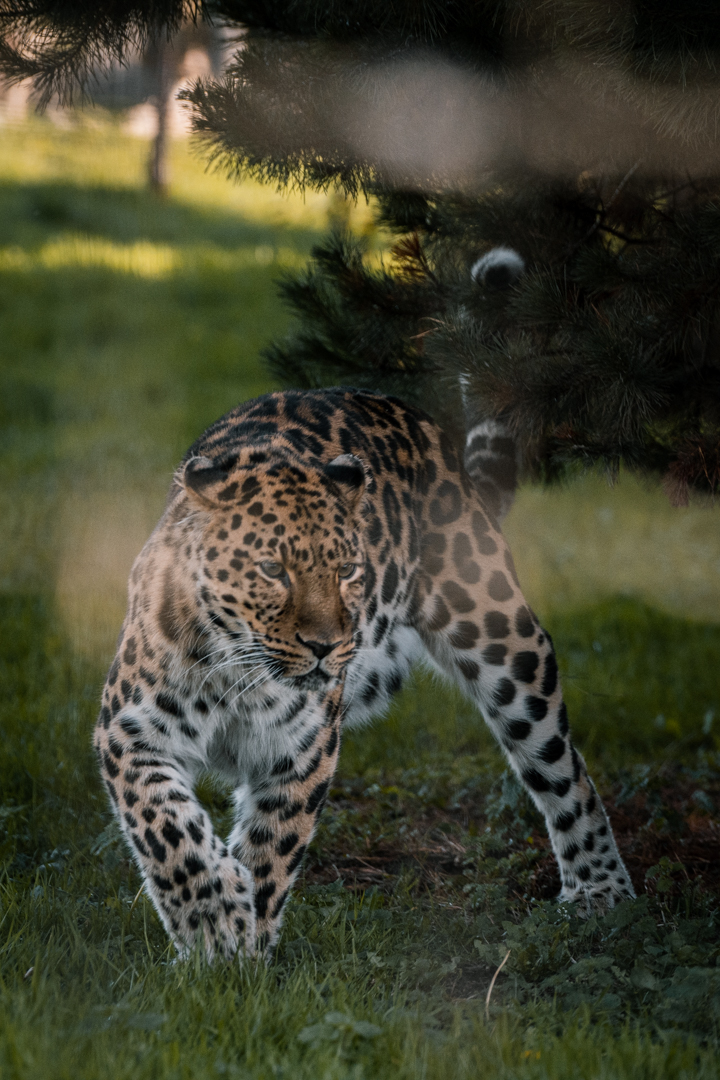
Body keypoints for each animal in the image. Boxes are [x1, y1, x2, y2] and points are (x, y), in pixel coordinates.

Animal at [94, 386, 634, 962]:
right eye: (273, 570)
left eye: (349, 571)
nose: (326, 646)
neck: (237, 676)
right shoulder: (128, 734)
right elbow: (168, 832)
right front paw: (214, 926)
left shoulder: (301, 750)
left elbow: (270, 851)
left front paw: (240, 947)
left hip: (504, 640)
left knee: (563, 770)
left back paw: (600, 888)